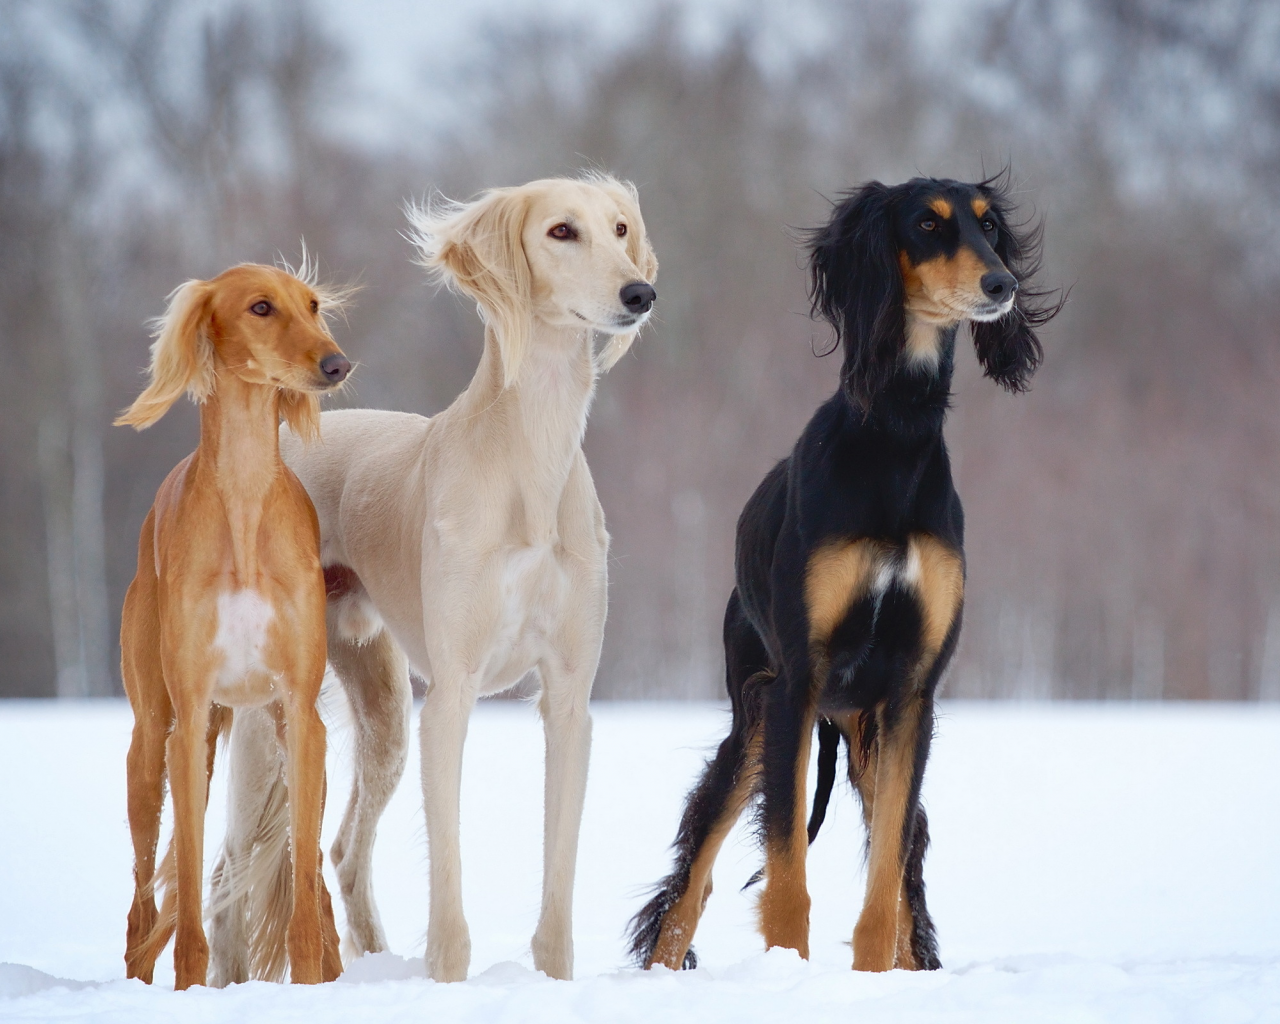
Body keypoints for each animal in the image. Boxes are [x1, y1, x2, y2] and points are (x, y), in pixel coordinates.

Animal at [119, 259, 350, 988]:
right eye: (260, 307)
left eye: (312, 305)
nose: (337, 364)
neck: (245, 503)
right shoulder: (190, 720)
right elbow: (189, 893)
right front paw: (191, 982)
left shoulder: (301, 718)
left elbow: (303, 887)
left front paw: (309, 979)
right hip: (151, 744)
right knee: (143, 900)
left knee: (317, 884)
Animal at [215, 176, 655, 983]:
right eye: (561, 231)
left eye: (618, 228)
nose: (639, 293)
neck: (529, 459)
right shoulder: (451, 694)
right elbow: (447, 870)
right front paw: (446, 977)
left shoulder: (570, 697)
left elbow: (558, 873)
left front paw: (552, 978)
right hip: (273, 714)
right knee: (231, 868)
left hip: (382, 709)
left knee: (344, 850)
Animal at [627, 176, 1059, 977]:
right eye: (928, 225)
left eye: (990, 228)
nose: (1002, 285)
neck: (894, 433)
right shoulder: (796, 683)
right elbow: (785, 870)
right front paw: (788, 970)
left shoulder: (912, 695)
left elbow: (888, 878)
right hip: (755, 721)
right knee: (689, 886)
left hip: (861, 733)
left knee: (907, 873)